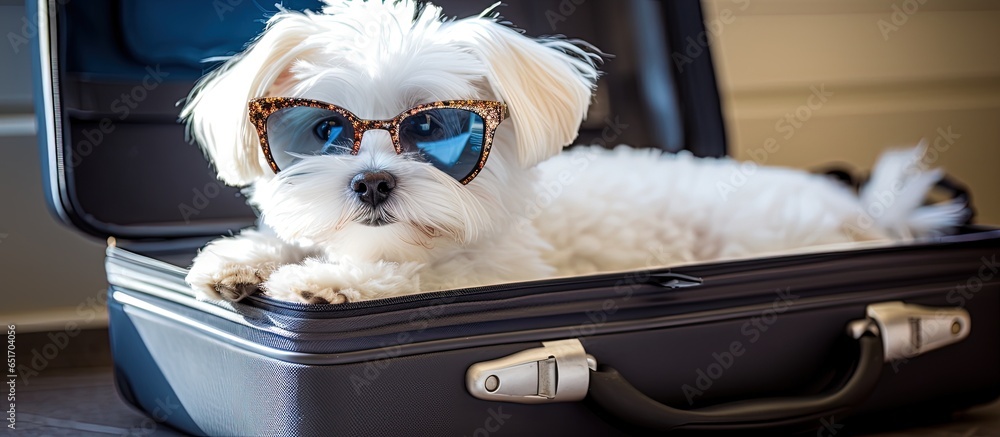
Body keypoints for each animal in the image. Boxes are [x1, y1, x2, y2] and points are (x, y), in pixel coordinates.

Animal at [182, 0, 968, 304]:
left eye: (435, 131)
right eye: (323, 134)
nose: (371, 183)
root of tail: (865, 211)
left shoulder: (500, 268)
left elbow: (428, 276)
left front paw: (332, 280)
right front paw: (244, 256)